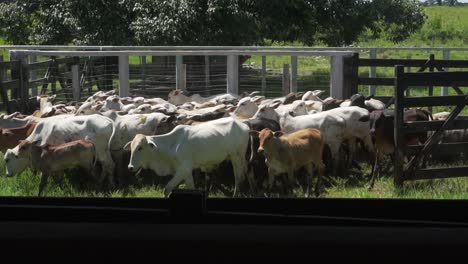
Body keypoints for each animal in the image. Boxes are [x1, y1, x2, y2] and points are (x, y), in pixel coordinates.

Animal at [122, 117, 250, 196]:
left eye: (140, 148)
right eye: (131, 148)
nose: (130, 167)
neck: (171, 145)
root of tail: (243, 125)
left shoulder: (183, 169)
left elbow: (167, 188)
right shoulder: (186, 172)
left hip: (236, 156)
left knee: (238, 177)